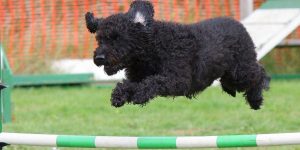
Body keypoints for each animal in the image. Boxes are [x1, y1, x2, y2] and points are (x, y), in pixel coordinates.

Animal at [84, 0, 270, 109]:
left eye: (117, 38)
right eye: (99, 39)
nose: (99, 58)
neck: (152, 48)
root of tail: (240, 26)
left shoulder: (179, 80)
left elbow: (154, 81)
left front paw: (140, 95)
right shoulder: (137, 77)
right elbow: (128, 84)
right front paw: (119, 95)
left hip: (240, 72)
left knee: (259, 73)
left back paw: (256, 99)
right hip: (229, 77)